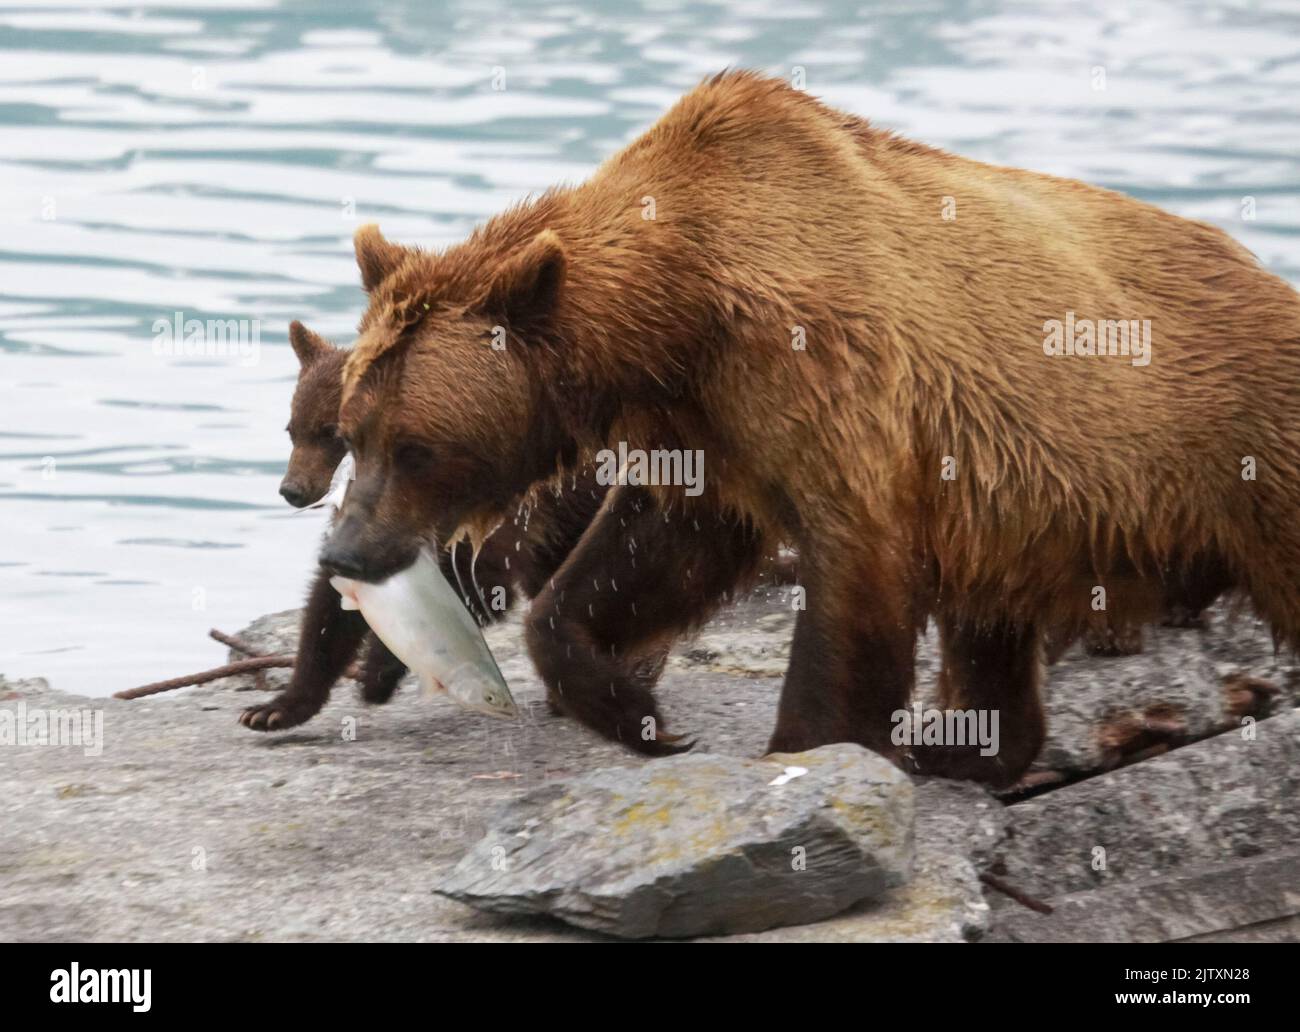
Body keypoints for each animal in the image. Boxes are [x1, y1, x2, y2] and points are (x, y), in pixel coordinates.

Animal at [319, 70, 1294, 779]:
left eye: (416, 447)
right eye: (353, 429)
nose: (345, 551)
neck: (675, 308)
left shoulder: (826, 371)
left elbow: (852, 563)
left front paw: (803, 748)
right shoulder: (706, 418)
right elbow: (652, 547)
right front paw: (635, 710)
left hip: (1245, 453)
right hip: (1023, 508)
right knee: (991, 616)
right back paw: (963, 746)